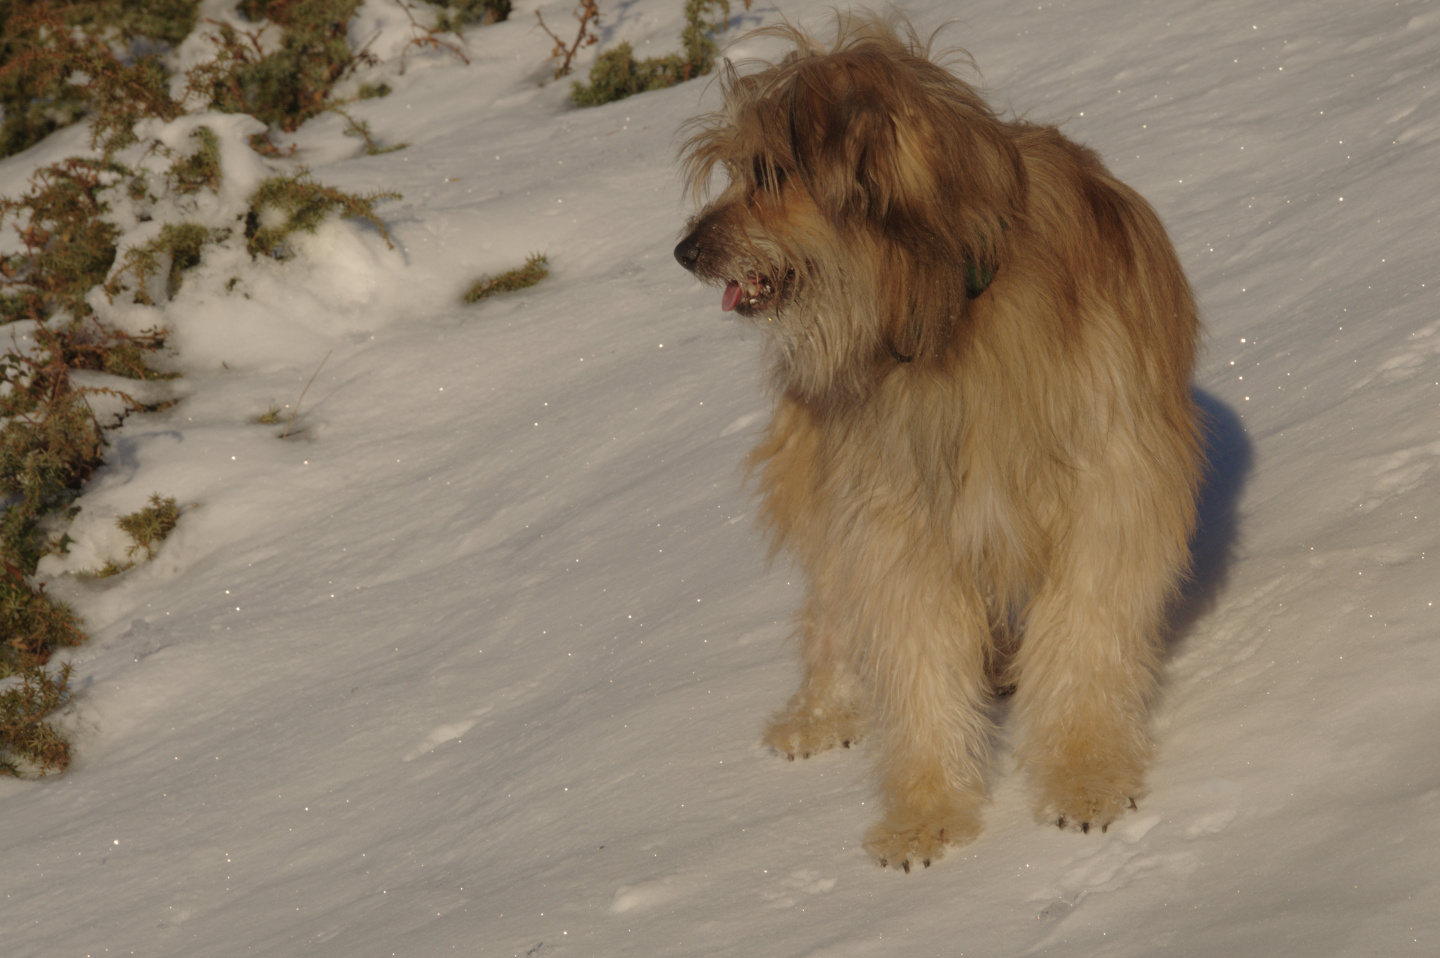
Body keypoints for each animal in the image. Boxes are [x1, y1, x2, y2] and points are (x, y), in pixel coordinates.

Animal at [676, 14, 1203, 870]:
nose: (685, 251)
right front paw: (926, 812)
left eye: (770, 172)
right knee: (832, 602)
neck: (949, 306)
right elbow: (917, 658)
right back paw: (820, 710)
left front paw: (1084, 774)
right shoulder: (898, 514)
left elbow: (1087, 632)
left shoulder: (1112, 481)